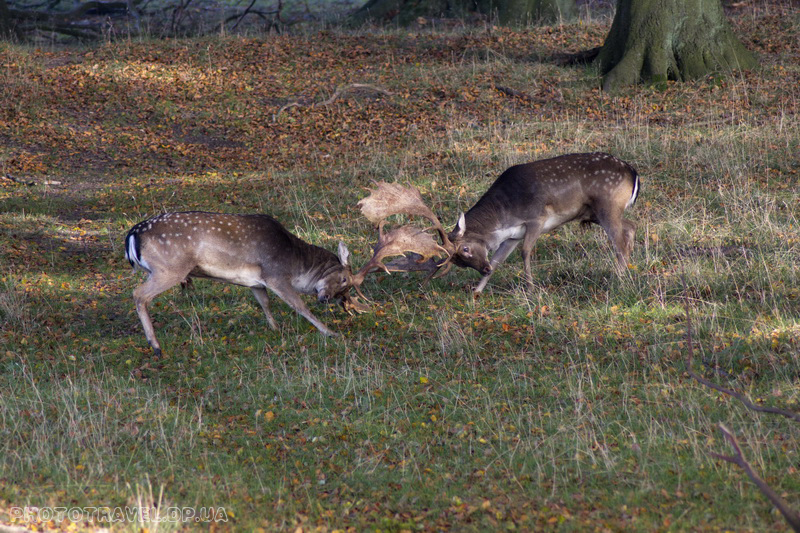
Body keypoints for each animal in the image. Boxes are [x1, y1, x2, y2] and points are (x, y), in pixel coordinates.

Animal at [123, 210, 358, 356]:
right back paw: (155, 346)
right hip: (169, 268)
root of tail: (132, 235)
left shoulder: (256, 283)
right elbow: (299, 306)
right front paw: (330, 332)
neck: (295, 262)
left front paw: (275, 329)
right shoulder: (275, 274)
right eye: (344, 280)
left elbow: (264, 303)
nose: (326, 299)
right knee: (138, 294)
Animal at [354, 152, 640, 296]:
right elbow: (500, 258)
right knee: (630, 228)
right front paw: (477, 291)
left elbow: (526, 252)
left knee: (620, 239)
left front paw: (530, 288)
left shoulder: (536, 217)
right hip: (599, 211)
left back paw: (618, 277)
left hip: (607, 204)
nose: (483, 269)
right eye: (458, 261)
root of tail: (633, 173)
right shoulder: (512, 234)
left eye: (465, 250)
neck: (504, 215)